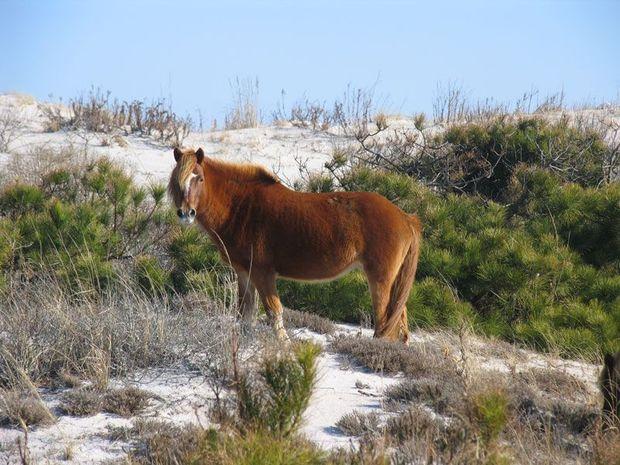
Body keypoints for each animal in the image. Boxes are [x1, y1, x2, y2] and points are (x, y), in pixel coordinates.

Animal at [168, 147, 422, 342]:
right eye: (177, 182)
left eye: (200, 178)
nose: (186, 213)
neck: (241, 207)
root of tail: (405, 217)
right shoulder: (244, 274)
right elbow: (245, 314)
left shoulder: (263, 273)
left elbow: (274, 312)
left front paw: (284, 346)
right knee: (400, 321)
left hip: (380, 279)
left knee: (385, 321)